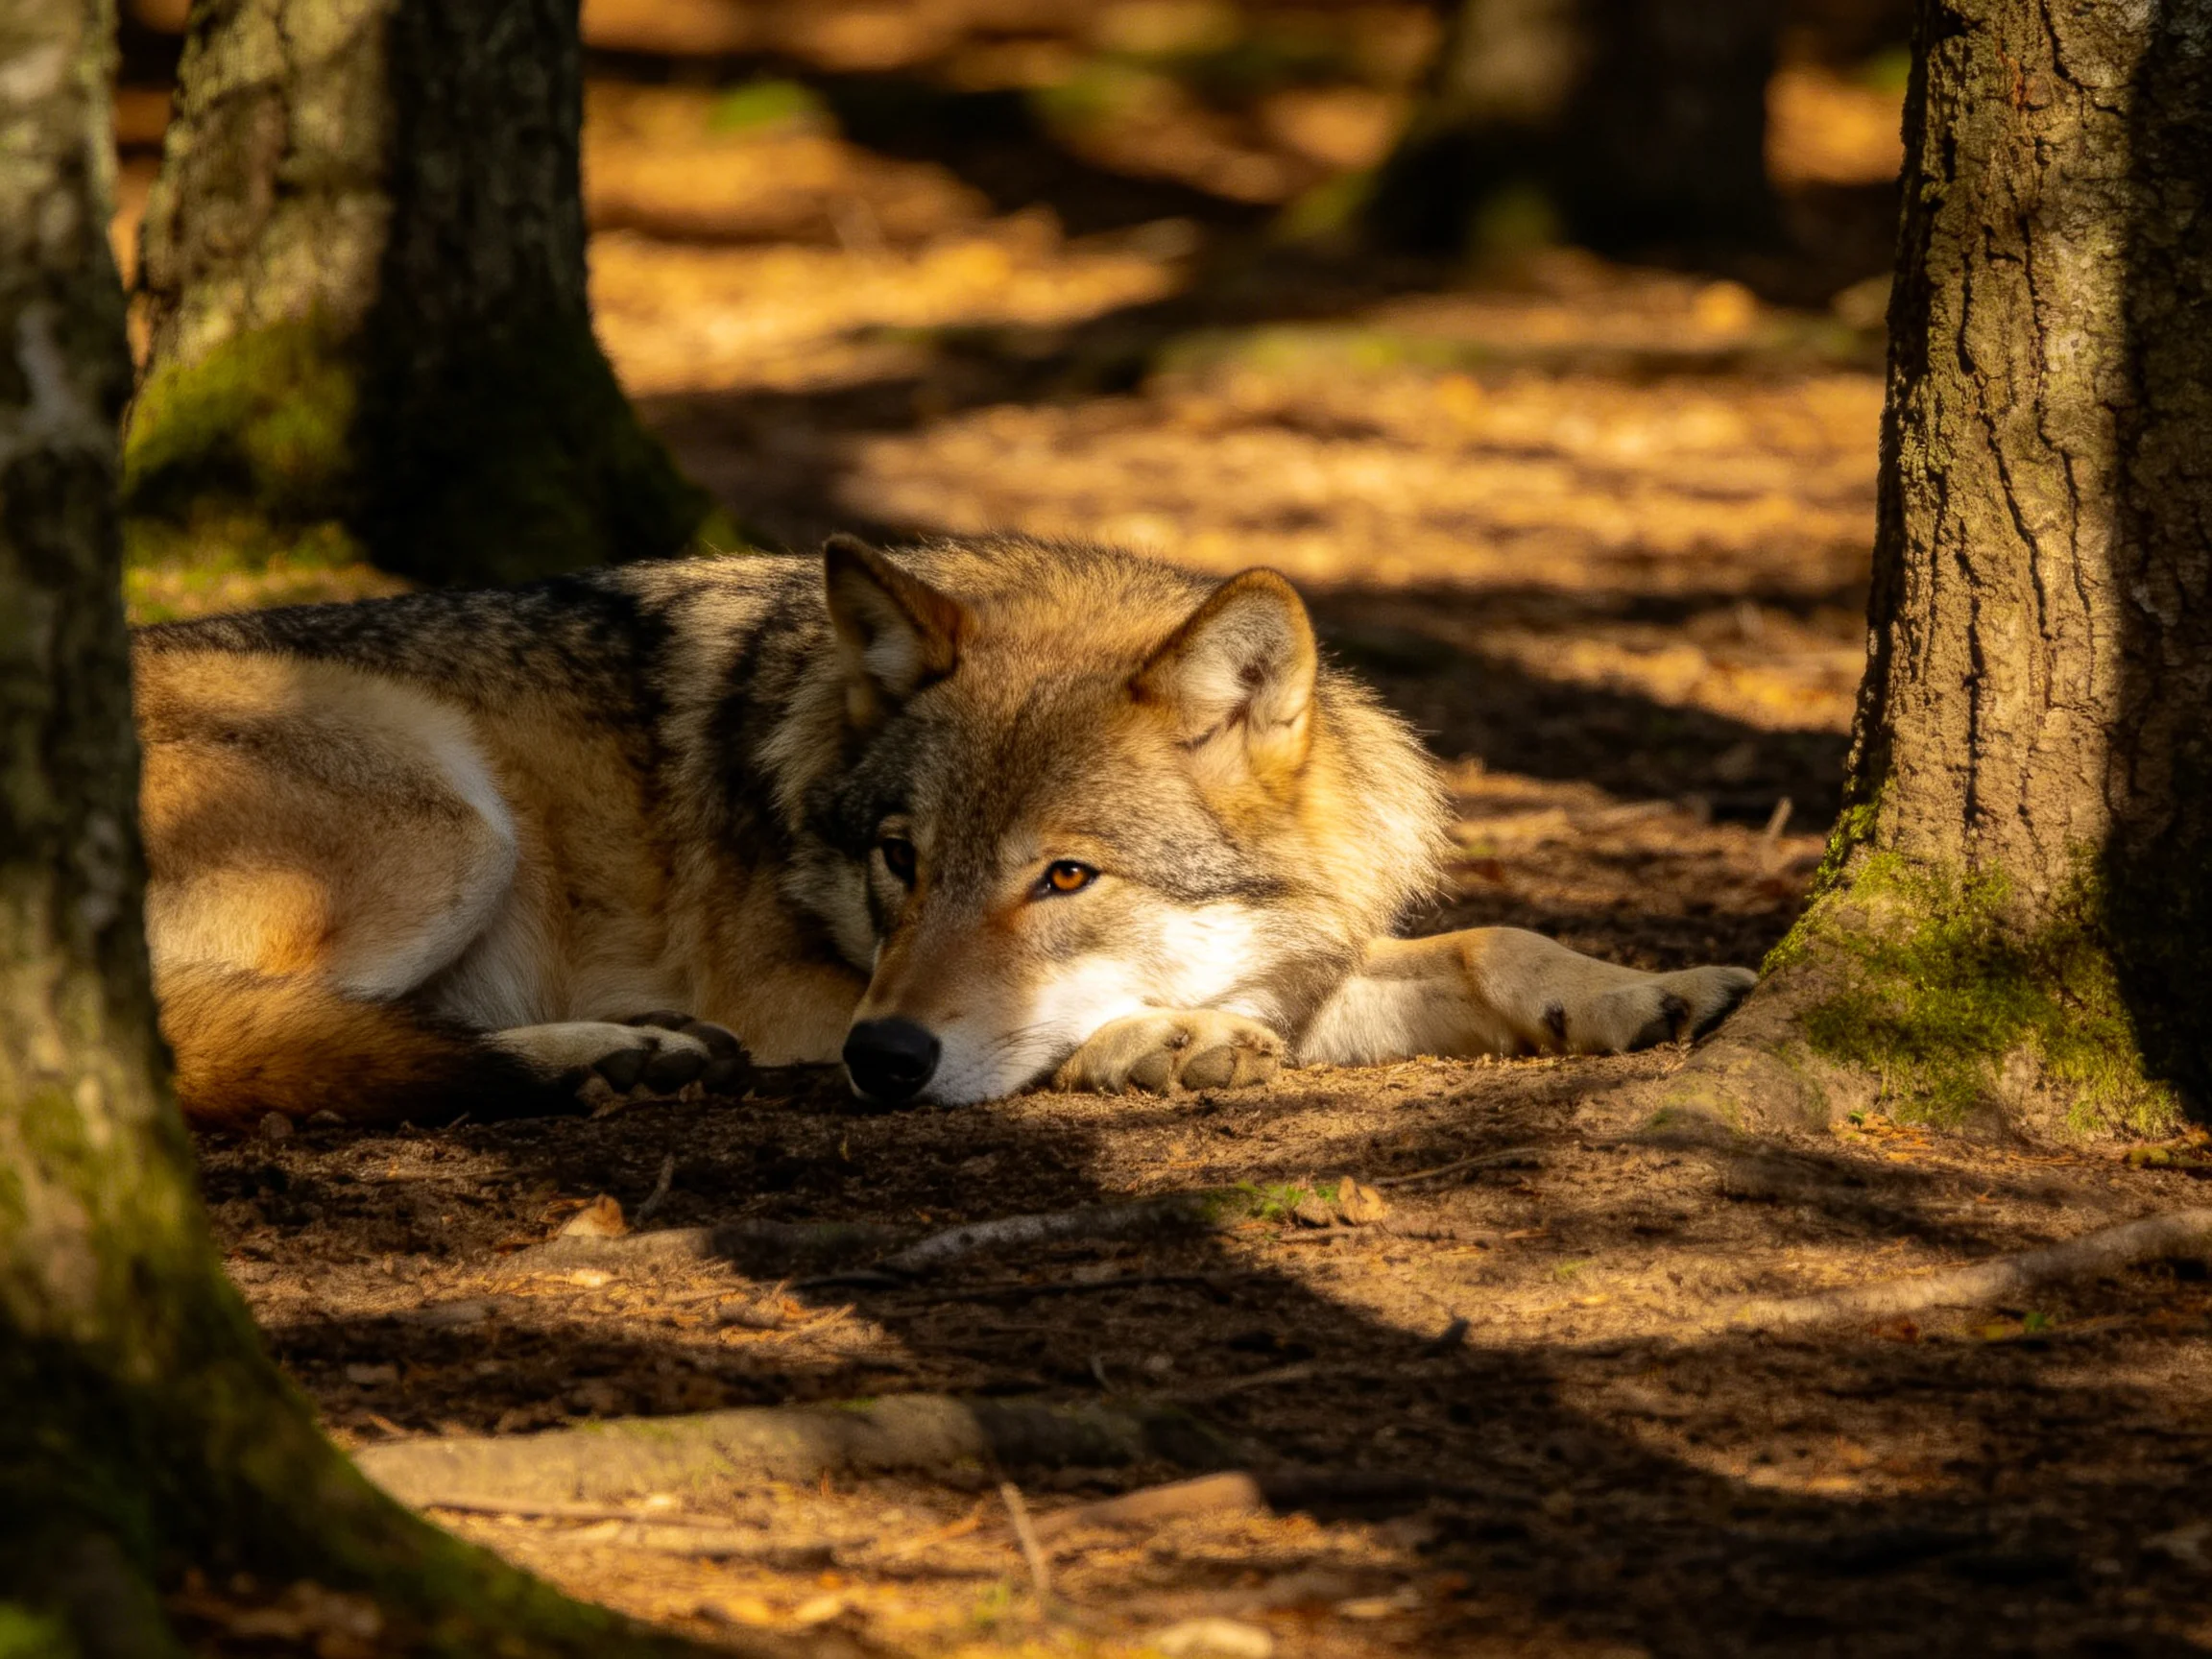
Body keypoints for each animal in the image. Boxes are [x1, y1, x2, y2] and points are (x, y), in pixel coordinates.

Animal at [133, 535, 1756, 1126]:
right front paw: (1148, 1042)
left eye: (1067, 877)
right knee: (206, 1033)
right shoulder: (789, 997)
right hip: (443, 810)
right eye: (900, 862)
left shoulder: (1309, 962)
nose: (883, 1061)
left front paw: (1649, 990)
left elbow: (1484, 942)